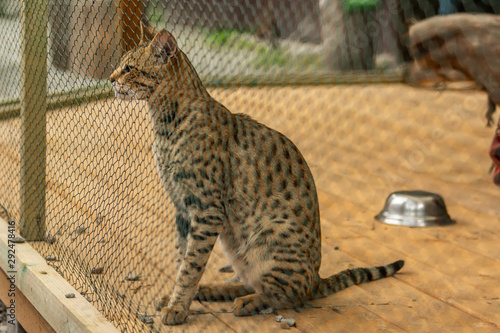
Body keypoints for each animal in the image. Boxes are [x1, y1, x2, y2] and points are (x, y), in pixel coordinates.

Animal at [108, 20, 402, 324]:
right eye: (120, 65)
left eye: (129, 68)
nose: (110, 78)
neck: (165, 123)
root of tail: (318, 277)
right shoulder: (182, 208)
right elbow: (183, 259)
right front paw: (177, 299)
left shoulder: (206, 209)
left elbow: (191, 264)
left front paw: (178, 307)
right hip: (235, 245)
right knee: (252, 280)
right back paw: (212, 290)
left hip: (268, 235)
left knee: (290, 294)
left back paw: (248, 302)